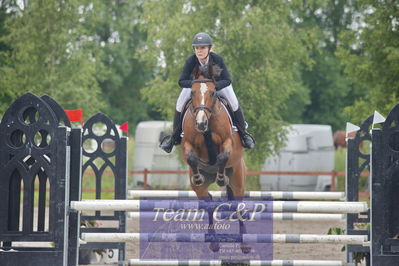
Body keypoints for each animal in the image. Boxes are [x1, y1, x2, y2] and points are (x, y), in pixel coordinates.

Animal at [181, 65, 250, 254]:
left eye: (212, 92)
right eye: (192, 92)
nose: (200, 123)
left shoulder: (227, 141)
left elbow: (222, 156)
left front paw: (221, 178)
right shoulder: (188, 143)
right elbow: (191, 157)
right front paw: (197, 177)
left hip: (238, 180)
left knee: (238, 205)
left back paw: (245, 244)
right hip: (201, 191)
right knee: (208, 203)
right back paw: (213, 241)